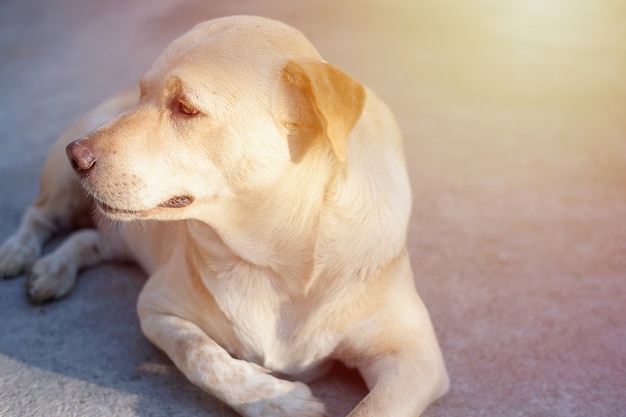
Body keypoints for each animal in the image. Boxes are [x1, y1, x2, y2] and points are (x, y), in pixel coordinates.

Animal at [1, 14, 448, 414]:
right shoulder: (156, 307)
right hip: (61, 188)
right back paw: (22, 256)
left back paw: (54, 269)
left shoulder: (415, 360)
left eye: (185, 107)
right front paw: (279, 401)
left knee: (87, 238)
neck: (274, 259)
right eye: (142, 94)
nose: (75, 155)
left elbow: (371, 409)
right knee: (39, 217)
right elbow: (200, 355)